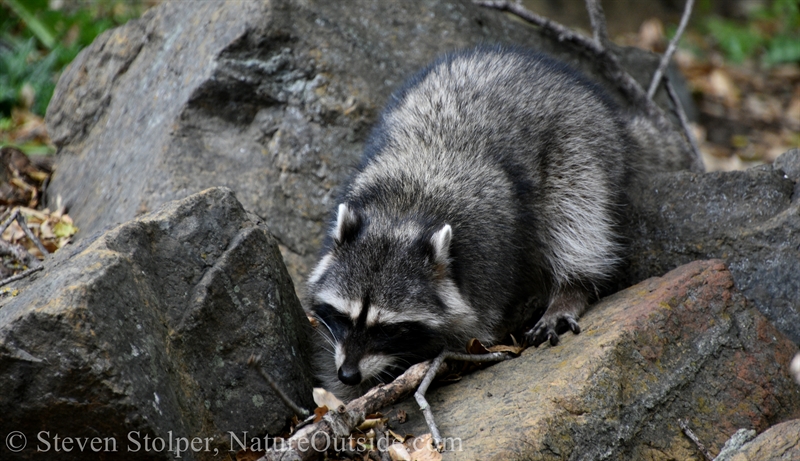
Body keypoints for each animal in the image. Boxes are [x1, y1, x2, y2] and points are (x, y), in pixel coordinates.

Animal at [306, 46, 688, 400]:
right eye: (343, 317)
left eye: (387, 329)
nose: (349, 375)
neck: (404, 213)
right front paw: (347, 396)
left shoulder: (486, 263)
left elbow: (471, 332)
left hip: (581, 146)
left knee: (577, 215)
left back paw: (573, 285)